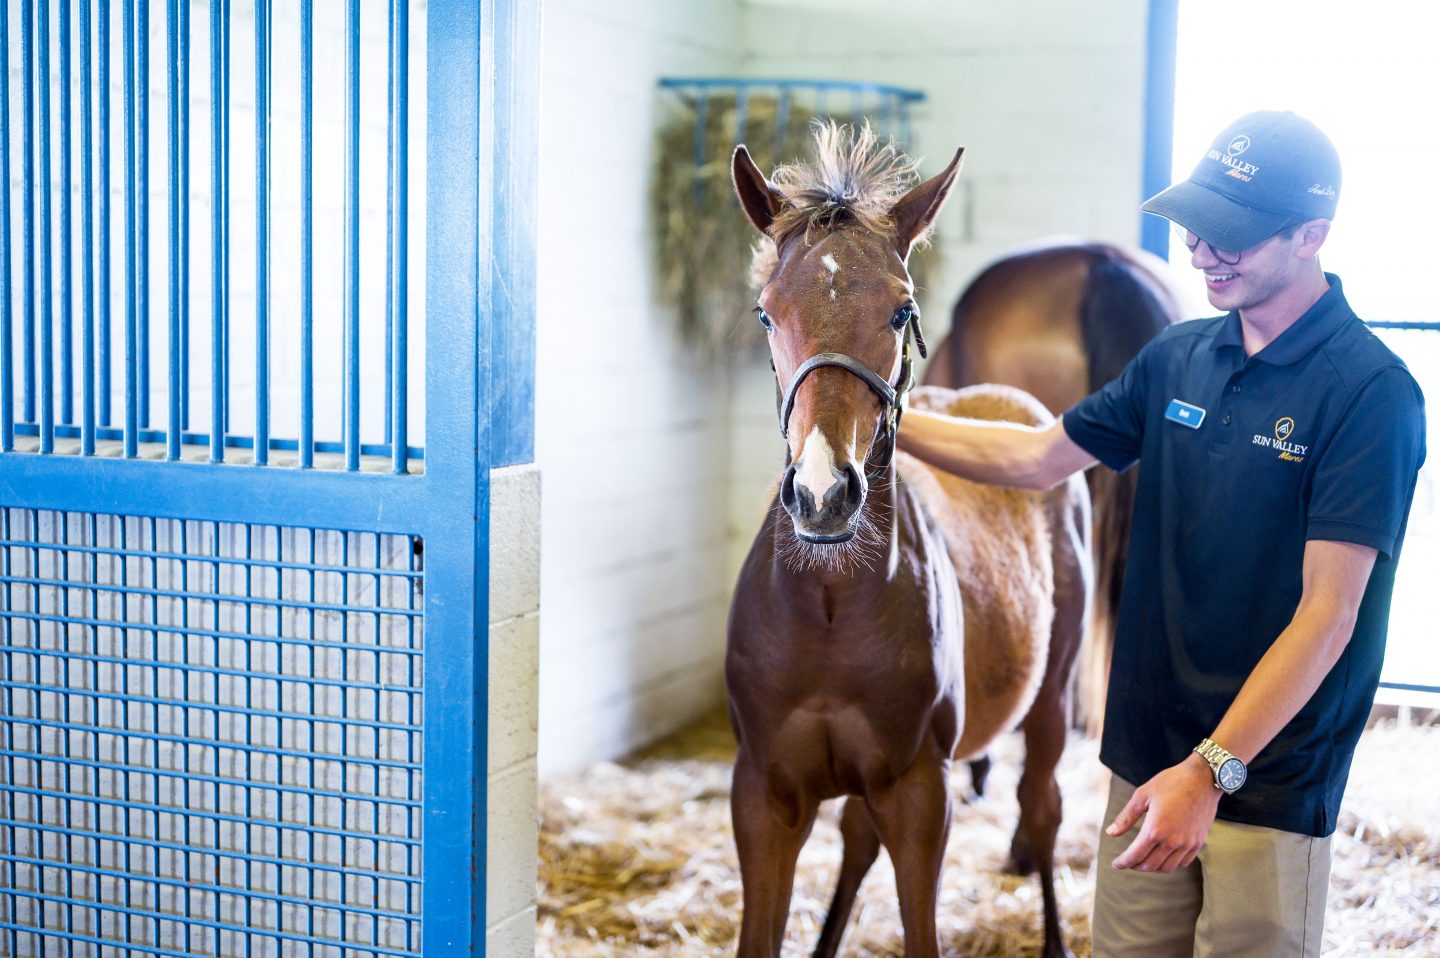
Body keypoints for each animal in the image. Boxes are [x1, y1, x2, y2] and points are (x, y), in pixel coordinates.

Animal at [725, 121, 1082, 956]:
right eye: (765, 313)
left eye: (900, 311)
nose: (824, 494)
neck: (828, 604)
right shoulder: (763, 796)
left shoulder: (922, 794)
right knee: (860, 841)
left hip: (1050, 697)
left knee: (1041, 806)